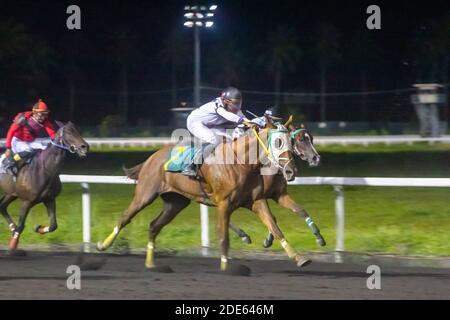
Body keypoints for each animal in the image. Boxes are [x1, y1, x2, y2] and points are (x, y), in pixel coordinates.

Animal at [0, 122, 89, 252]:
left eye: (78, 130)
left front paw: (38, 228)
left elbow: (53, 225)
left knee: (2, 206)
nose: (84, 147)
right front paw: (13, 247)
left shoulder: (49, 199)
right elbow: (21, 226)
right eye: (68, 132)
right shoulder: (27, 201)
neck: (45, 170)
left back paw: (12, 227)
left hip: (11, 193)